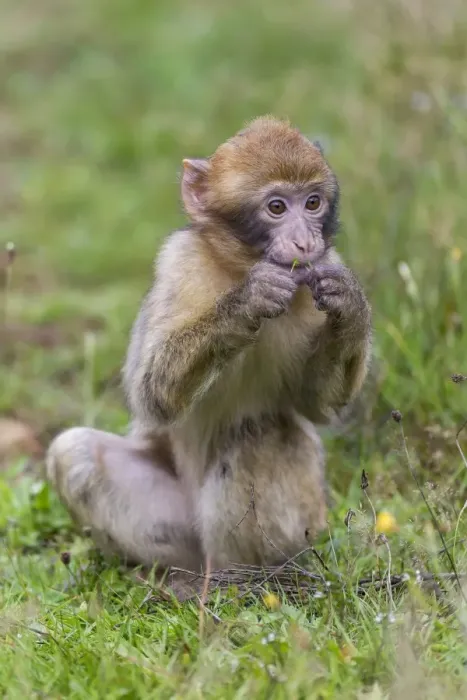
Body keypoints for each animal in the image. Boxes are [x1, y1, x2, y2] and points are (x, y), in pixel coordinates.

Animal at [46, 116, 372, 573]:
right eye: (276, 207)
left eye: (312, 203)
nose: (305, 243)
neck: (238, 266)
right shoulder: (179, 261)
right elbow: (151, 395)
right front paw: (247, 303)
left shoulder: (327, 265)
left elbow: (317, 407)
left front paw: (351, 306)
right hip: (178, 524)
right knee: (73, 451)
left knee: (265, 431)